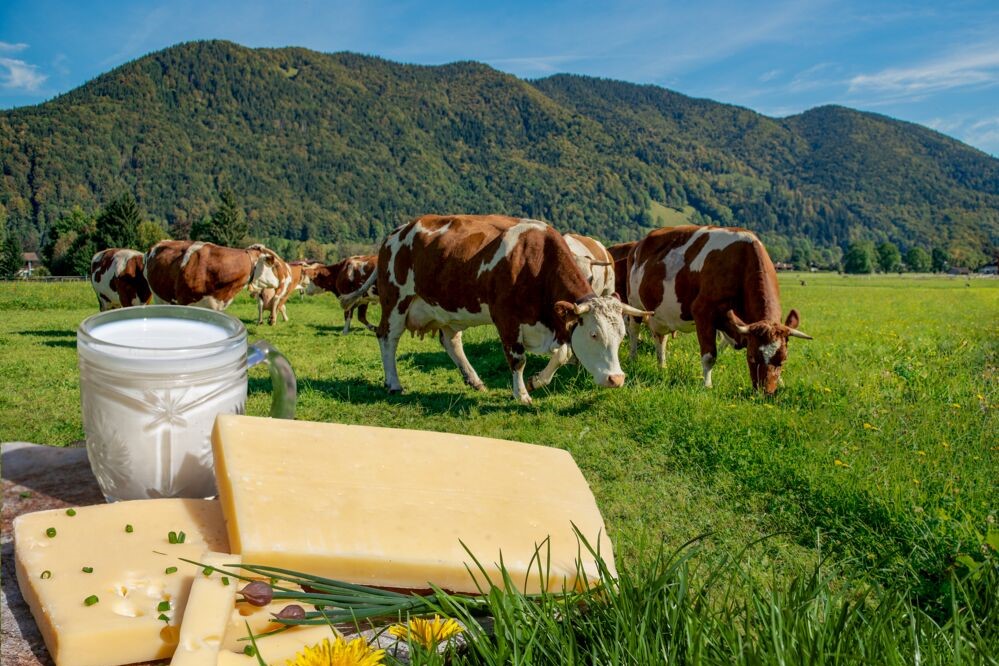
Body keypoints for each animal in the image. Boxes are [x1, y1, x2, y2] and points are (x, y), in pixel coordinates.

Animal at [344, 215, 652, 402]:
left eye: (621, 337)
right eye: (594, 335)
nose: (617, 379)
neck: (534, 262)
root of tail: (395, 234)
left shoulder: (553, 320)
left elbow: (563, 353)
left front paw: (536, 381)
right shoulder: (506, 317)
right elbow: (518, 359)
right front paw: (522, 394)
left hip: (447, 308)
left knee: (450, 341)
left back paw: (474, 380)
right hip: (395, 300)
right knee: (387, 337)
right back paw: (393, 383)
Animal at [632, 226, 812, 392]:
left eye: (783, 360)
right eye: (752, 357)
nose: (766, 392)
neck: (741, 262)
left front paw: (781, 383)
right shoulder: (702, 312)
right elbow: (709, 356)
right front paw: (707, 385)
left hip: (660, 316)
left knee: (661, 339)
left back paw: (662, 367)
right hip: (635, 305)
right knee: (634, 332)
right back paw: (633, 359)